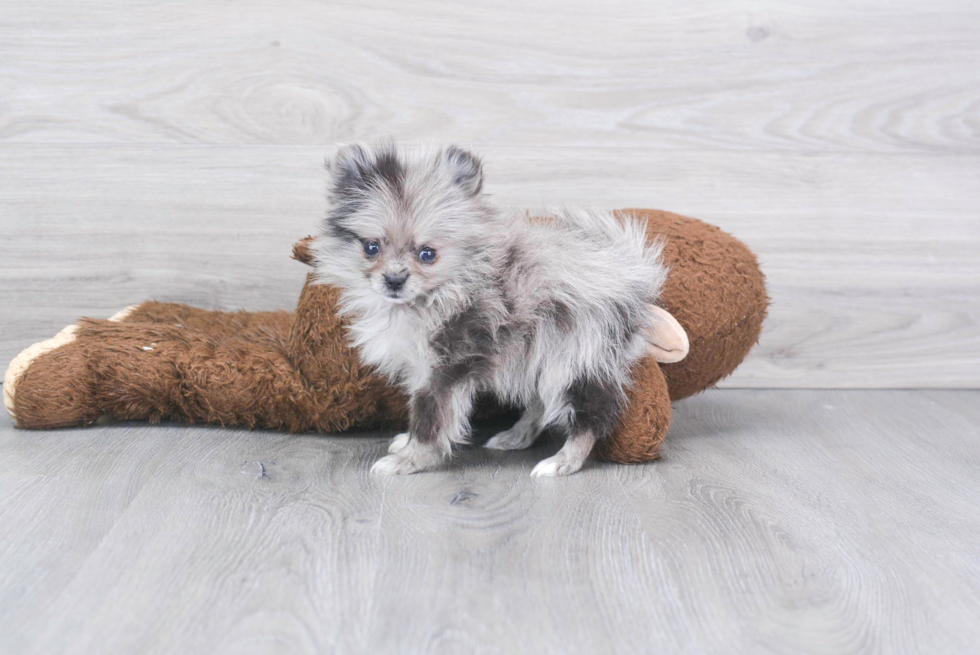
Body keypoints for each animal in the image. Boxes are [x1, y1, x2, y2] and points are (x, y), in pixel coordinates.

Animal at [318, 144, 668, 480]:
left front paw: (409, 460)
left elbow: (431, 420)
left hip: (574, 357)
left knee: (590, 415)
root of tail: (632, 273)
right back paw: (516, 436)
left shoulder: (444, 368)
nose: (394, 280)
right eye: (371, 248)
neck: (442, 292)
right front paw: (406, 443)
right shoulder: (423, 368)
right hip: (543, 355)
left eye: (427, 254)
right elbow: (423, 413)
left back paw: (562, 462)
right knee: (541, 402)